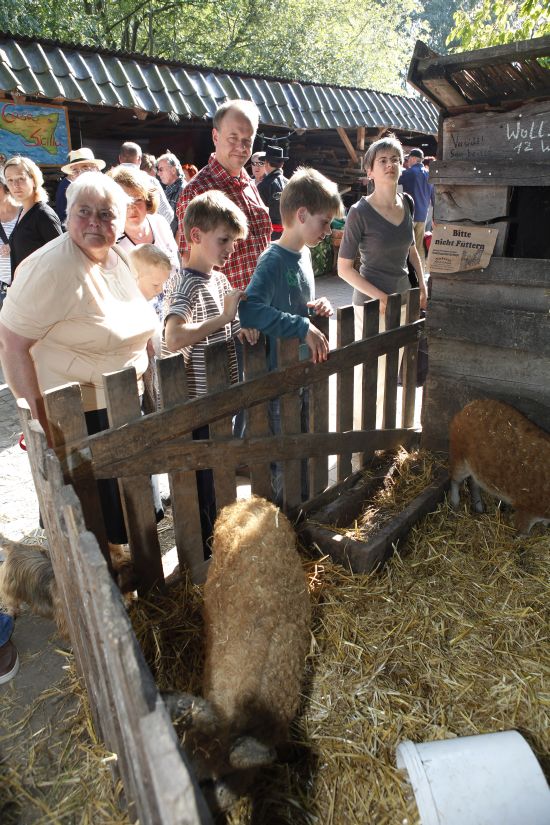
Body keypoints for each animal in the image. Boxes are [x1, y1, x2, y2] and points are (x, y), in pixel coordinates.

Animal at [449, 399, 550, 534]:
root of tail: (468, 407)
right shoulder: (527, 508)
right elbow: (522, 531)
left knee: (473, 483)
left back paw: (480, 509)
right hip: (459, 455)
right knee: (455, 479)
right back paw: (455, 505)